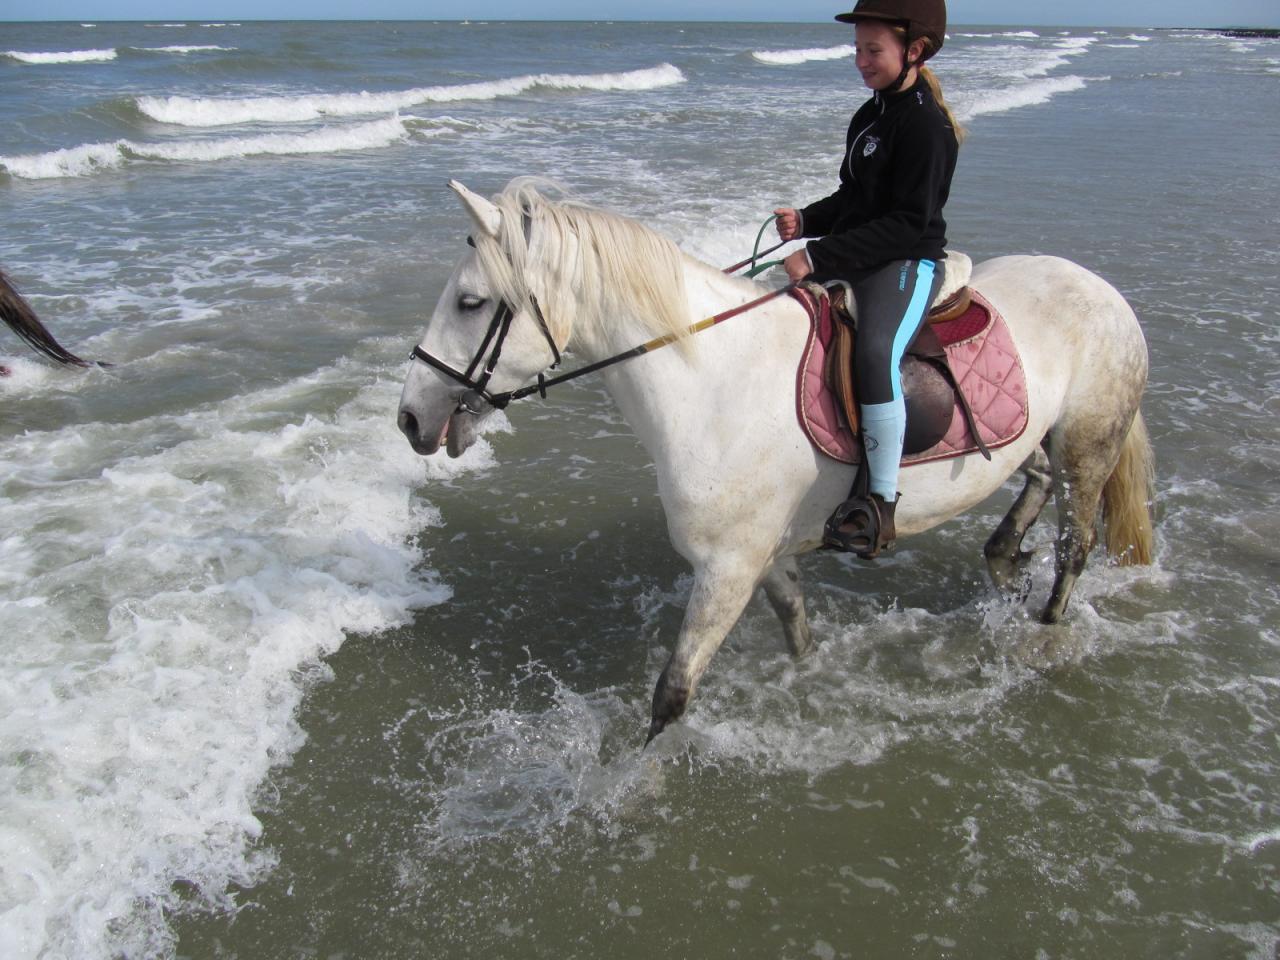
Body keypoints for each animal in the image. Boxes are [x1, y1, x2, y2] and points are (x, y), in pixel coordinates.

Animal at [394, 181, 1157, 752]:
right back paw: (1004, 558)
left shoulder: (727, 569)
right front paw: (807, 679)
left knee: (1075, 544)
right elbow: (796, 626)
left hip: (1088, 444)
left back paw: (1046, 627)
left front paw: (630, 786)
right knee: (1036, 483)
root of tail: (1101, 288)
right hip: (1046, 442)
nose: (409, 419)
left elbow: (672, 696)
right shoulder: (762, 556)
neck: (713, 381)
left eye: (470, 302)